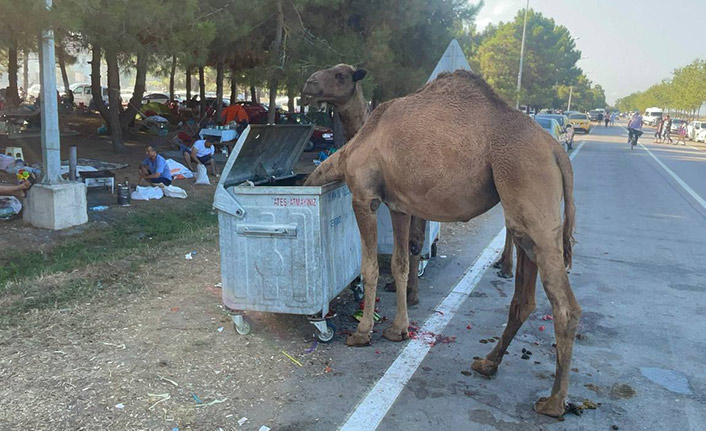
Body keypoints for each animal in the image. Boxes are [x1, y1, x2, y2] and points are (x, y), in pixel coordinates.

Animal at [302, 64, 576, 418]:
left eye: (340, 75)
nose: (308, 83)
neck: (359, 139)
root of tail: (556, 150)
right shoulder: (399, 206)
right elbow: (401, 263)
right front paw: (398, 329)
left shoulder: (365, 196)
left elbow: (371, 266)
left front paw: (363, 333)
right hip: (525, 218)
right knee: (524, 299)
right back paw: (488, 363)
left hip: (527, 191)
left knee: (565, 306)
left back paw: (553, 402)